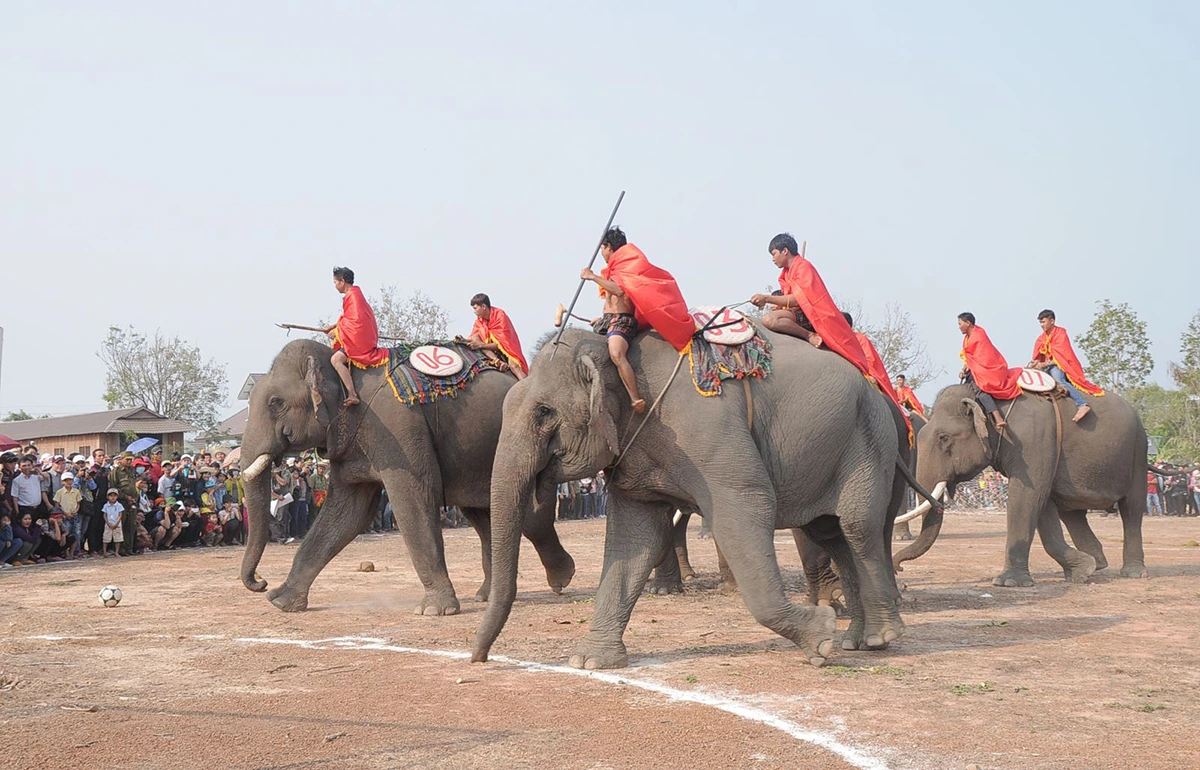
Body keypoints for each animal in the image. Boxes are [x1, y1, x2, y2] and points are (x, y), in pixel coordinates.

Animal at [238, 339, 575, 614]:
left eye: (275, 403)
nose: (260, 582)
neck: (343, 369)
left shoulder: (396, 427)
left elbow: (412, 499)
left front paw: (435, 610)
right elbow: (349, 513)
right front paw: (281, 602)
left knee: (529, 515)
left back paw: (562, 578)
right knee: (483, 515)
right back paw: (490, 595)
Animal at [471, 326, 911, 670]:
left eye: (544, 413)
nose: (477, 657)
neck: (617, 357)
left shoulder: (706, 432)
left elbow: (747, 506)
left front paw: (821, 638)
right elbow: (633, 540)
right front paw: (589, 661)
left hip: (869, 439)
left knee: (856, 527)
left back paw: (879, 637)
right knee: (829, 533)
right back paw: (856, 639)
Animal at [896, 383, 1148, 586]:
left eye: (943, 438)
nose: (899, 568)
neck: (986, 399)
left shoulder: (1032, 441)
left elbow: (1026, 497)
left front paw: (1007, 582)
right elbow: (1043, 505)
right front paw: (1083, 569)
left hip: (1138, 452)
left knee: (1132, 509)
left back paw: (1133, 573)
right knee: (1072, 513)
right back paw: (1096, 563)